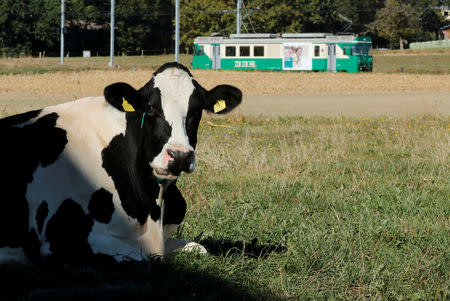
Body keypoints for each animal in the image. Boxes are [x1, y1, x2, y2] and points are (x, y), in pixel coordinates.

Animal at [0, 62, 243, 264]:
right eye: (150, 108)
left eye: (196, 110)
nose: (180, 156)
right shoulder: (60, 240)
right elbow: (142, 257)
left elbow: (199, 248)